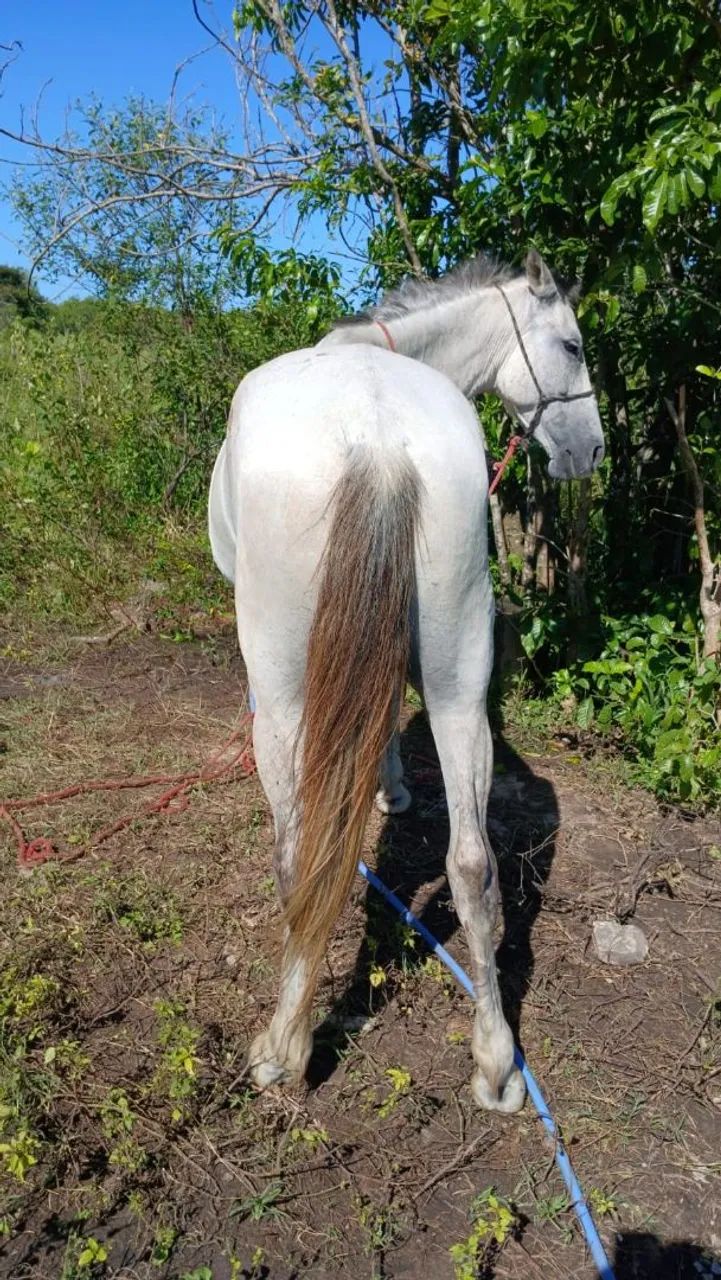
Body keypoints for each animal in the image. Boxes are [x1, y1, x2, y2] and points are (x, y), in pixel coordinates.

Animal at [208, 249, 604, 1114]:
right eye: (571, 346)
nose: (590, 453)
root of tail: (377, 437)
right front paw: (392, 787)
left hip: (282, 701)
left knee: (299, 851)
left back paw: (284, 1049)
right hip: (459, 686)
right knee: (471, 864)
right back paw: (496, 1063)